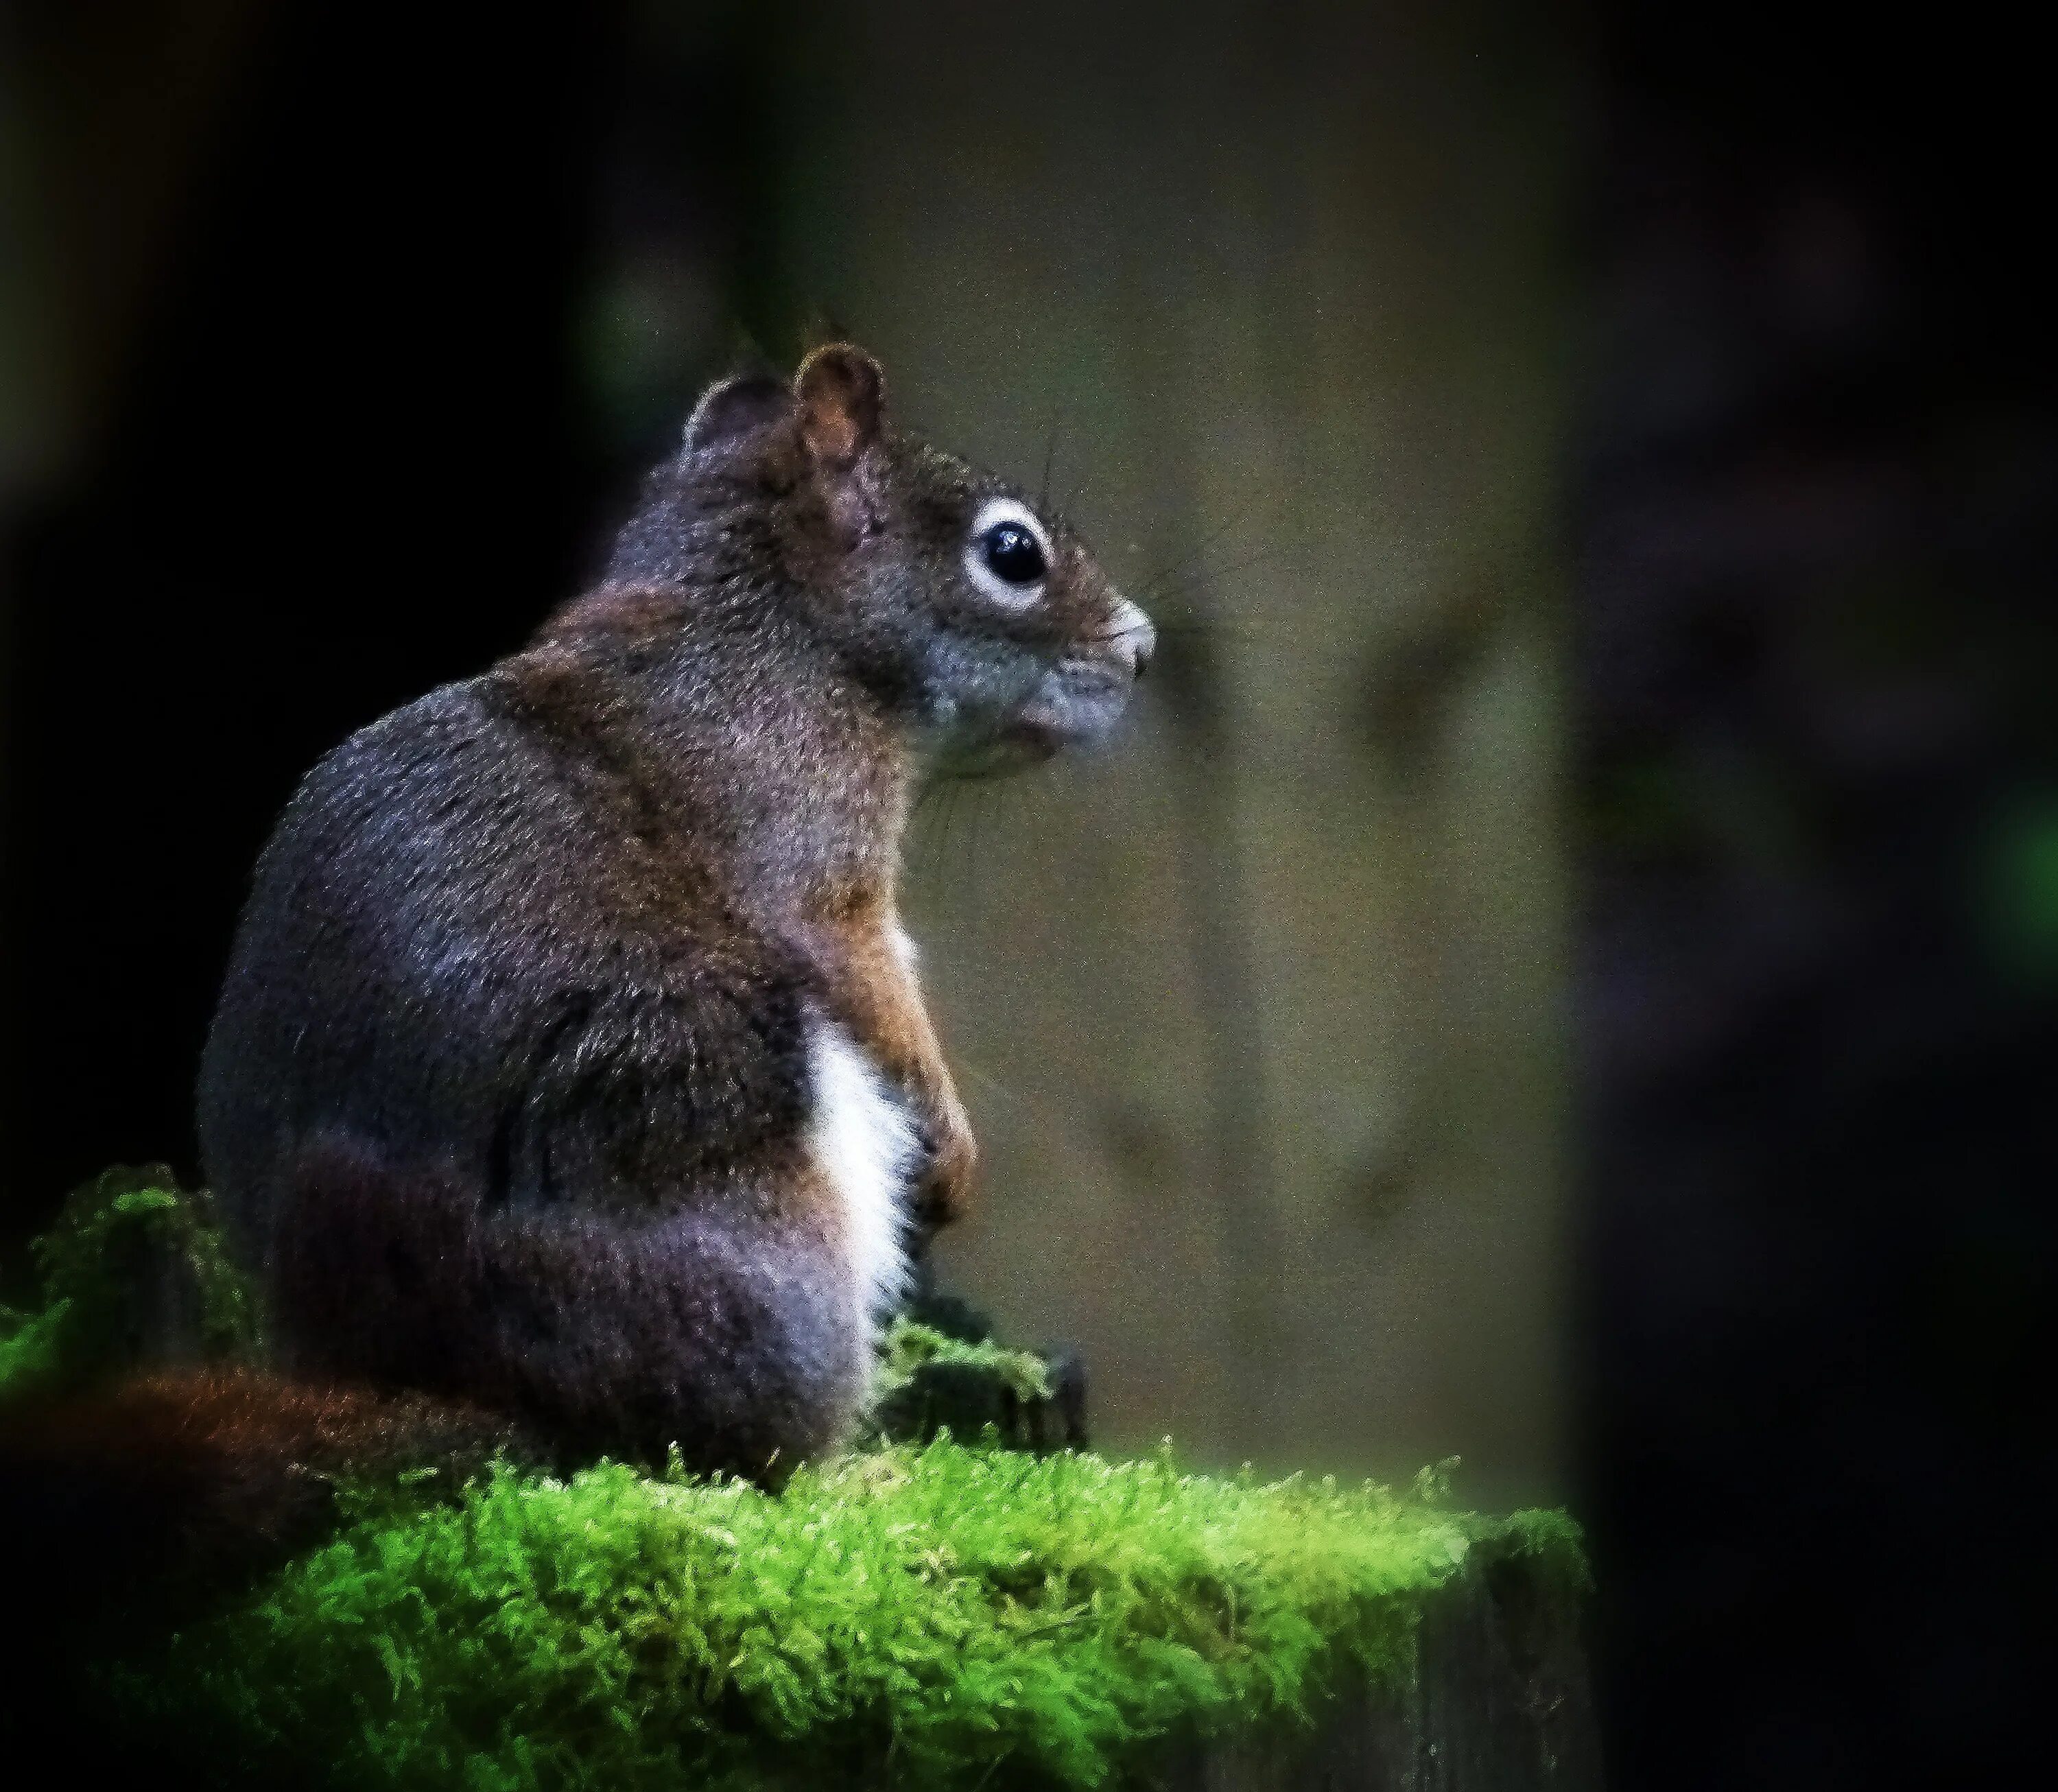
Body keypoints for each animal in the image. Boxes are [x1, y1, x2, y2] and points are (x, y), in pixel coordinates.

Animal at [177, 339, 1152, 1489]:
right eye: (1012, 553)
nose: (1142, 649)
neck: (770, 634)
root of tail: (492, 1393)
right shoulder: (800, 833)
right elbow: (868, 974)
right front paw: (951, 1150)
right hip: (723, 1166)